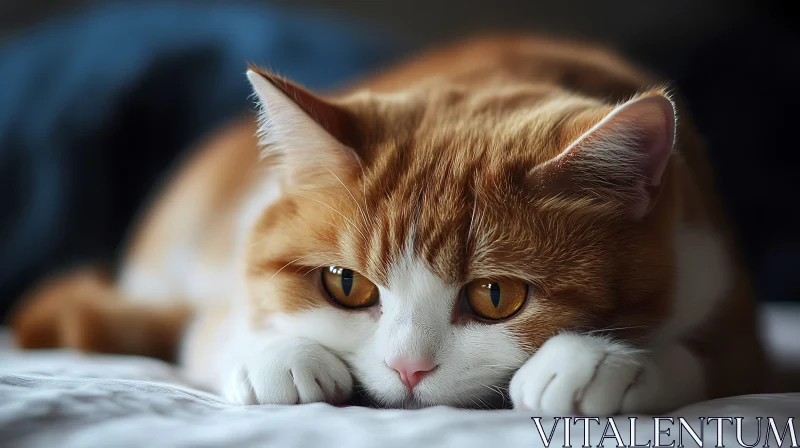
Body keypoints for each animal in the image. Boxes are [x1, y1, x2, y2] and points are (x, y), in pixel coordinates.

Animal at [9, 34, 764, 412]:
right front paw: (280, 356)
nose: (407, 368)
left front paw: (601, 362)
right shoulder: (222, 300)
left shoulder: (727, 298)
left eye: (496, 296)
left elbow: (708, 361)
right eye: (346, 284)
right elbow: (222, 330)